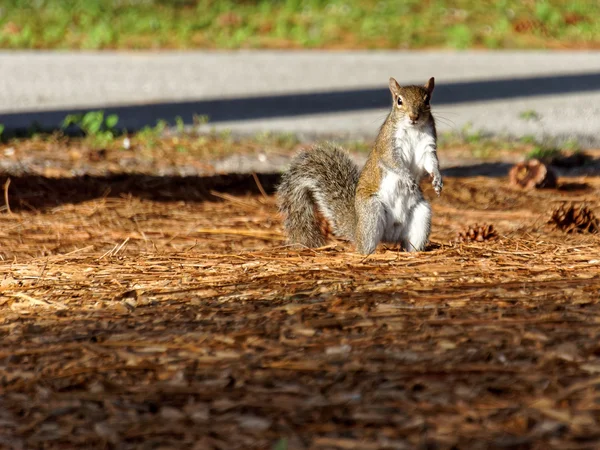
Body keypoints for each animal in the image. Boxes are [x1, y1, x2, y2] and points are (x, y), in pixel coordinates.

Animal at [276, 75, 440, 255]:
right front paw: (408, 178)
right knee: (364, 246)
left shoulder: (428, 146)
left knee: (412, 242)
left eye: (427, 100)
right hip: (371, 212)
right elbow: (392, 161)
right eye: (399, 101)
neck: (413, 130)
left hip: (422, 214)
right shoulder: (387, 146)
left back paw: (414, 253)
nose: (413, 117)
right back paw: (368, 255)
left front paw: (437, 179)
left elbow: (431, 162)